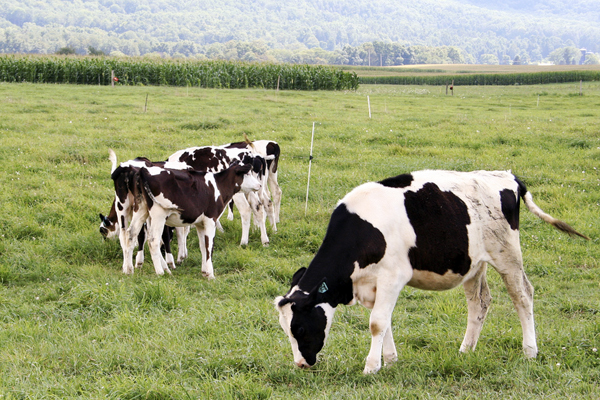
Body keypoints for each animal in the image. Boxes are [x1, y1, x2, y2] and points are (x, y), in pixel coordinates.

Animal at [120, 161, 262, 276]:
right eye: (247, 174)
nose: (260, 185)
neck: (218, 186)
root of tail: (143, 171)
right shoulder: (211, 219)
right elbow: (209, 246)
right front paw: (211, 274)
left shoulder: (200, 223)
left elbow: (203, 246)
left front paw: (204, 271)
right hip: (158, 213)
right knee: (153, 240)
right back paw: (160, 272)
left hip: (141, 210)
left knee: (130, 235)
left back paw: (129, 270)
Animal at [274, 170, 588, 374]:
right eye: (285, 329)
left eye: (299, 328)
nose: (301, 364)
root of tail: (507, 176)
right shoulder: (372, 285)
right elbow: (384, 321)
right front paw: (390, 360)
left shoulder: (392, 277)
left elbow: (377, 322)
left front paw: (371, 367)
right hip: (473, 264)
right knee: (480, 303)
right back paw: (465, 350)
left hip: (507, 254)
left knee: (522, 296)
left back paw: (529, 352)